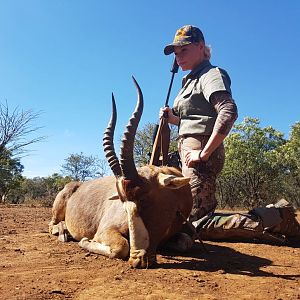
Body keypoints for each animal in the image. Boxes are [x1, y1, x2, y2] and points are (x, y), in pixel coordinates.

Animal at [49, 77, 192, 268]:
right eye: (123, 203)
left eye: (144, 199)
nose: (137, 259)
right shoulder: (105, 230)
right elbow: (122, 247)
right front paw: (86, 241)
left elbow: (186, 242)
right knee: (52, 225)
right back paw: (64, 233)